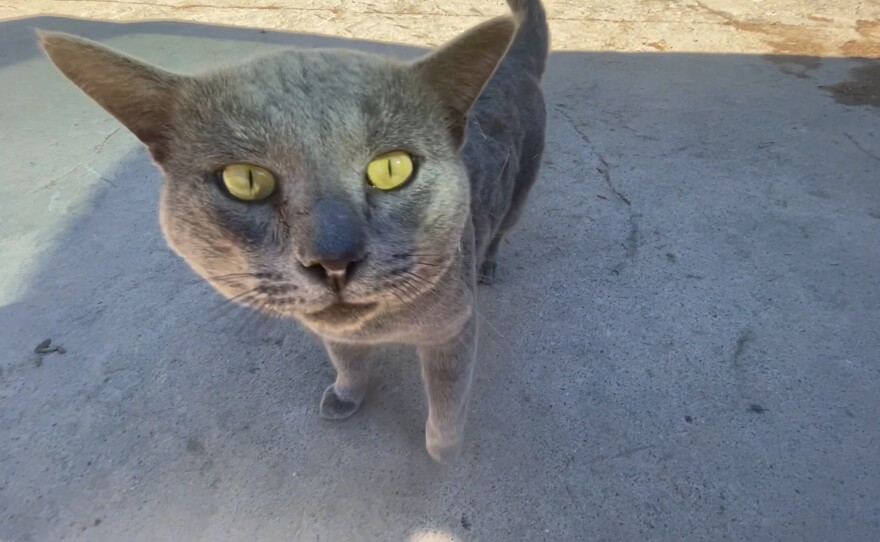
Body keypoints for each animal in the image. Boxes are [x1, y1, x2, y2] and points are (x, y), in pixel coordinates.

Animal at [43, 0, 552, 466]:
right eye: (245, 180)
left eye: (392, 169)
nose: (334, 258)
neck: (380, 327)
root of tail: (515, 61)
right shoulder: (336, 333)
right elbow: (347, 360)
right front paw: (346, 395)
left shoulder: (455, 329)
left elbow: (448, 397)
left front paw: (442, 450)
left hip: (519, 196)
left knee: (502, 229)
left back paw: (489, 264)